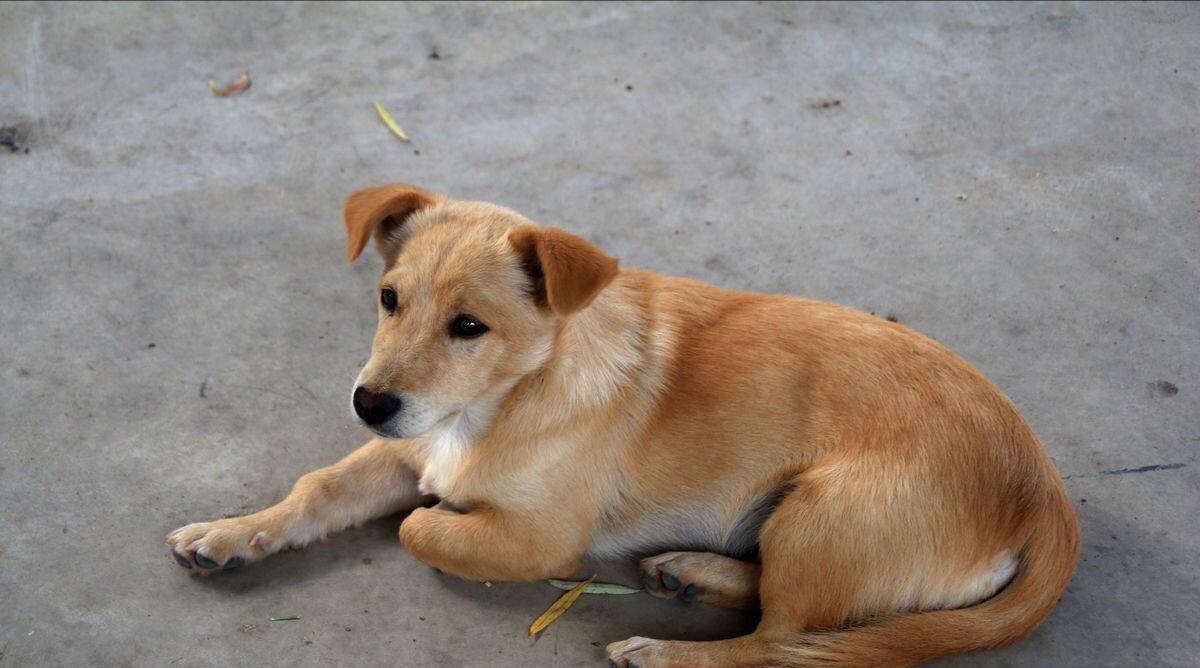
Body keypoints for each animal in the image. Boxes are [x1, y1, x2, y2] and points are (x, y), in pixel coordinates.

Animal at [166, 182, 1080, 666]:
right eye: (389, 300)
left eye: (470, 327)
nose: (368, 403)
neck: (503, 404)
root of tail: (1044, 496)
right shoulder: (411, 445)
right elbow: (318, 490)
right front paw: (229, 531)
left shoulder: (532, 536)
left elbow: (417, 530)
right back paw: (692, 571)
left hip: (824, 513)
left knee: (782, 644)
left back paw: (667, 650)